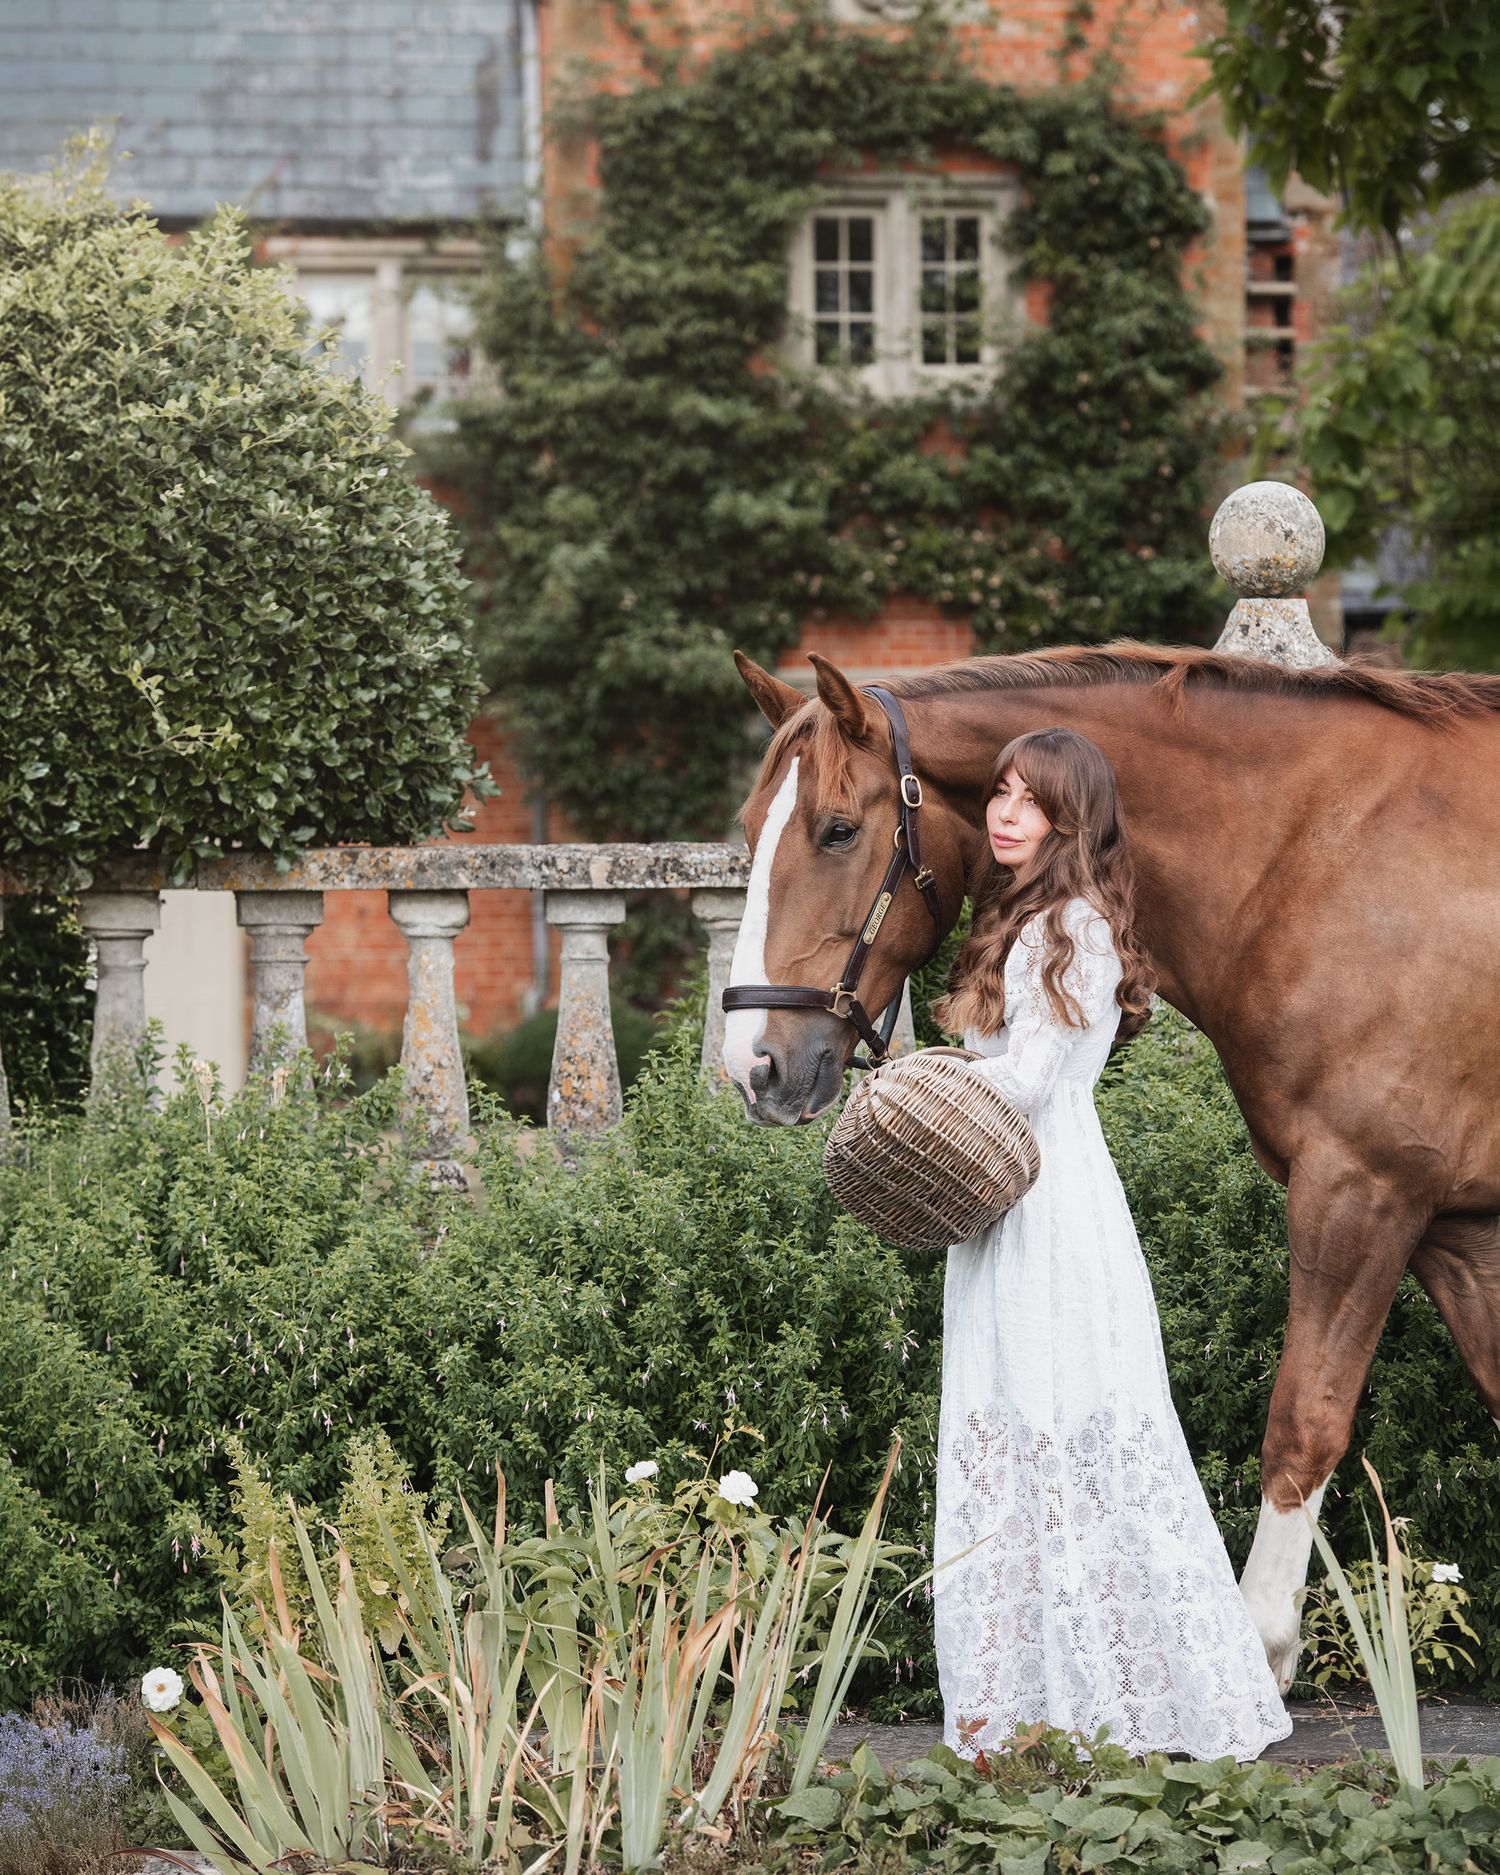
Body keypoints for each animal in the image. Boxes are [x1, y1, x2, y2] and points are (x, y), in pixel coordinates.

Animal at [721, 639, 1500, 1692]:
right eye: (748, 830)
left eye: (838, 830)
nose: (753, 1063)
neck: (1320, 854)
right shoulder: (1460, 1228)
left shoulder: (1363, 1190)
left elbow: (1303, 1421)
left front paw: (1260, 1650)